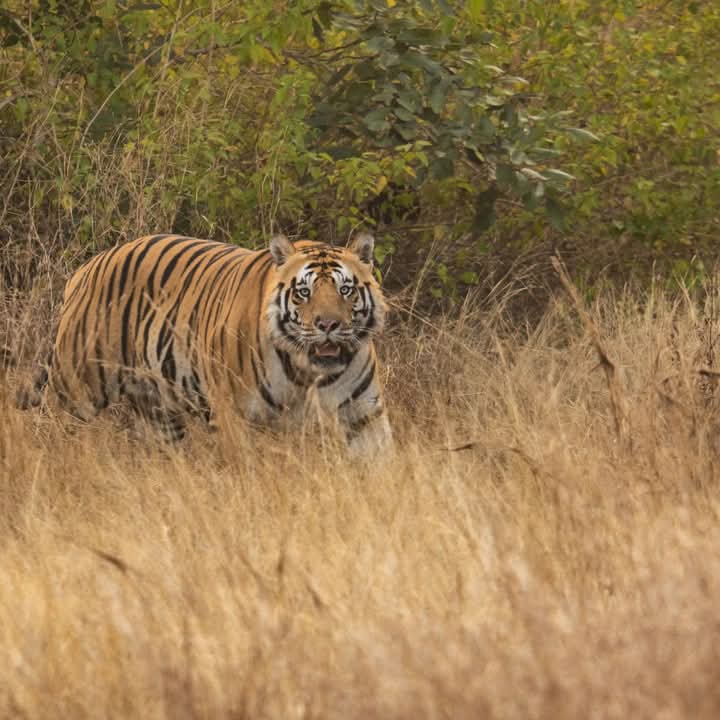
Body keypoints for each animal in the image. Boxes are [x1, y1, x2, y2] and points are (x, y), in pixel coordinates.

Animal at [18, 232, 393, 455]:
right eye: (304, 292)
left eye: (345, 289)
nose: (328, 325)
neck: (306, 370)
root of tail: (86, 268)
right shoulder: (234, 416)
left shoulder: (363, 415)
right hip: (78, 387)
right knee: (58, 427)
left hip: (158, 411)